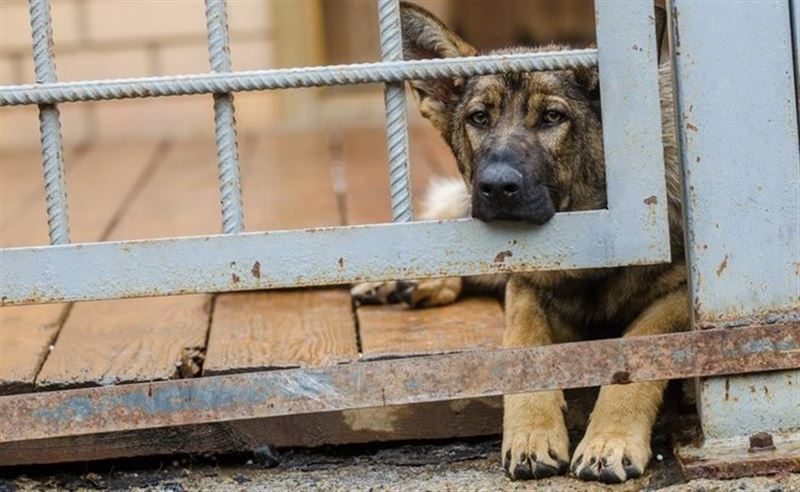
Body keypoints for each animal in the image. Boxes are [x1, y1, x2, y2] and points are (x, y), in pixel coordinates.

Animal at [356, 0, 688, 484]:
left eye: (552, 117)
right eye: (479, 118)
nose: (496, 187)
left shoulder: (678, 296)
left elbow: (638, 350)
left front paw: (609, 439)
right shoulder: (526, 288)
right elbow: (524, 342)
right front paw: (533, 432)